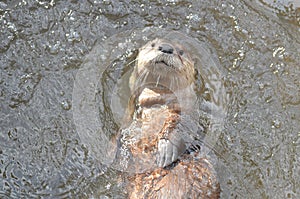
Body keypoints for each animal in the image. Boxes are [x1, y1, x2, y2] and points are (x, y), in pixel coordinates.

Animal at [117, 38, 220, 198]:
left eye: (181, 52)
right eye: (153, 45)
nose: (166, 47)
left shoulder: (188, 109)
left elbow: (180, 125)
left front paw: (165, 150)